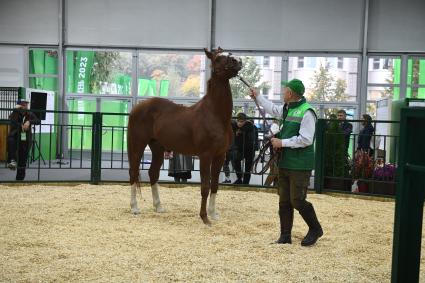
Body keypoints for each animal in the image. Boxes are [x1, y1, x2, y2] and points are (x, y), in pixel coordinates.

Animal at [126, 48, 242, 226]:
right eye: (218, 59)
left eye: (229, 54)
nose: (238, 61)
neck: (215, 115)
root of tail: (137, 107)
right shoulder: (205, 156)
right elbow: (205, 187)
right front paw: (205, 218)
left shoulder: (220, 156)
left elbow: (215, 185)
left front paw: (213, 214)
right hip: (138, 145)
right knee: (133, 172)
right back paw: (134, 208)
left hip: (157, 147)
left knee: (153, 173)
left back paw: (159, 207)